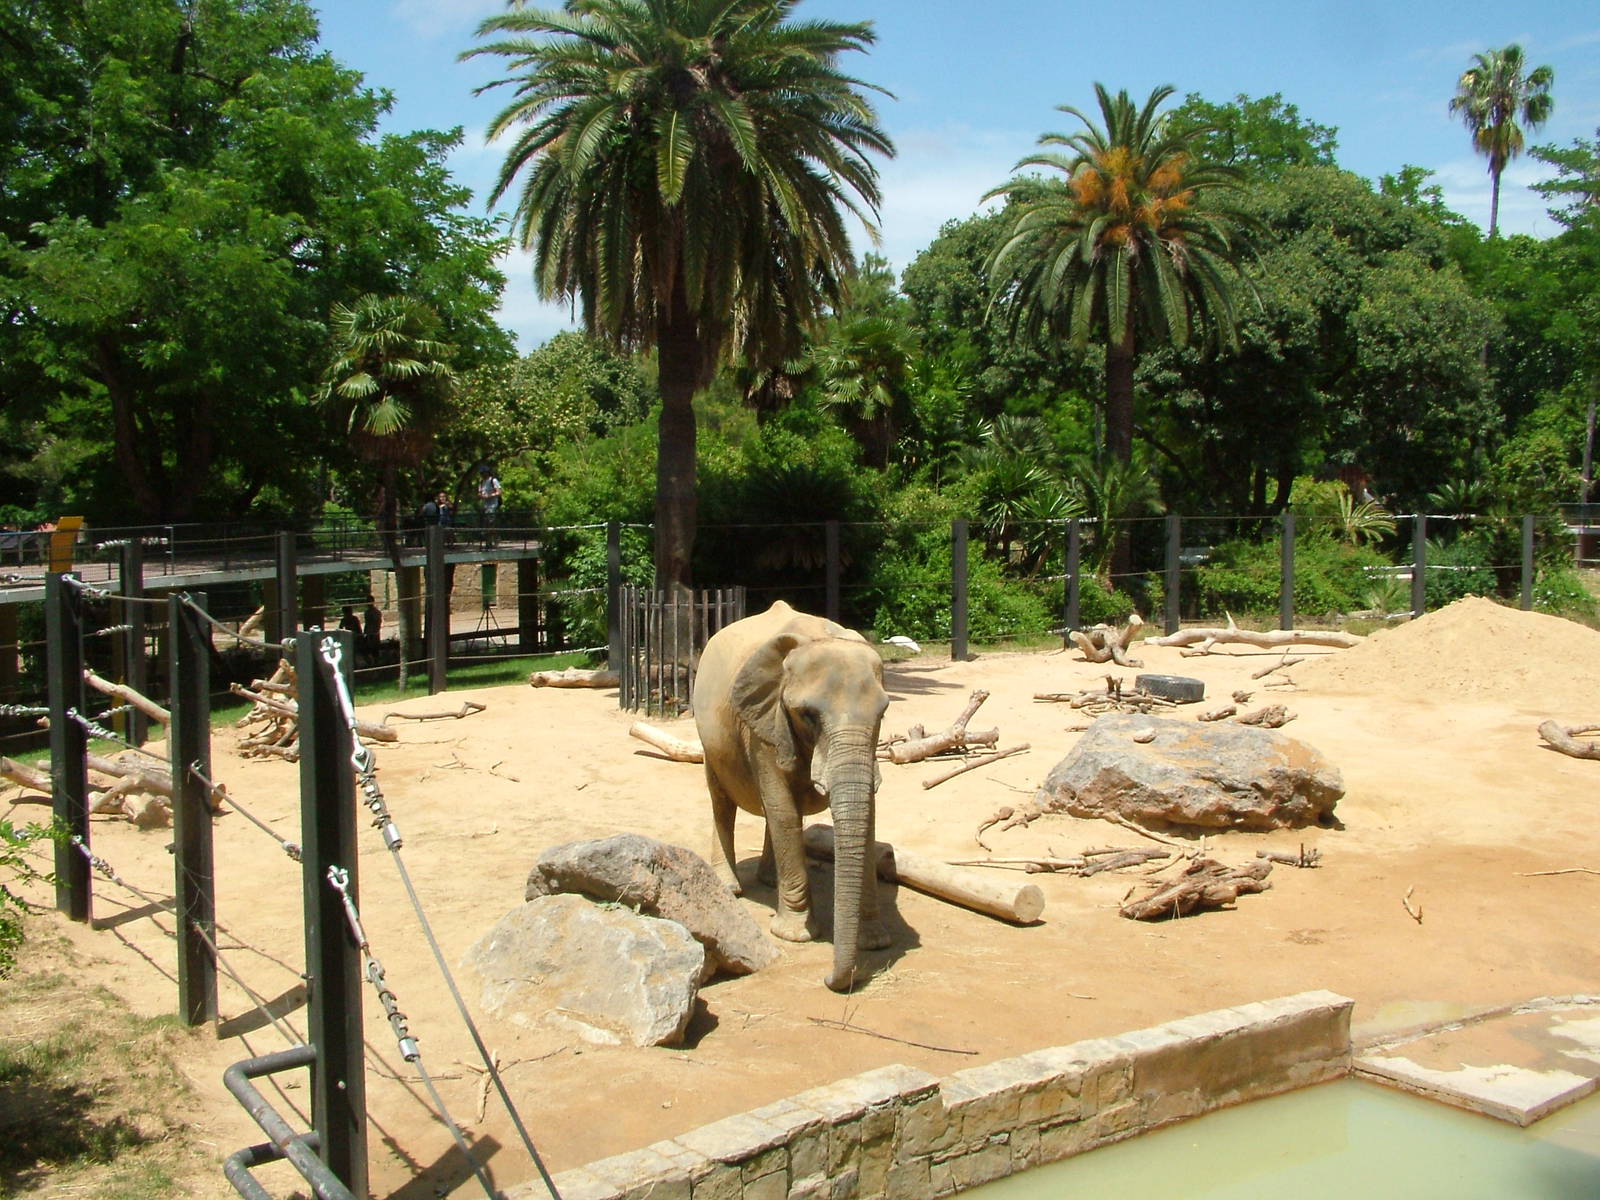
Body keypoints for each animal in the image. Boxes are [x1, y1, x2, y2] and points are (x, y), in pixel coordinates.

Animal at [691, 600, 892, 992]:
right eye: (808, 715)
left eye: (883, 713)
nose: (829, 980)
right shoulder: (763, 724)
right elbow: (782, 808)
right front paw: (795, 935)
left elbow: (868, 814)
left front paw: (875, 942)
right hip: (710, 736)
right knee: (722, 801)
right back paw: (730, 887)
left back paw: (770, 881)